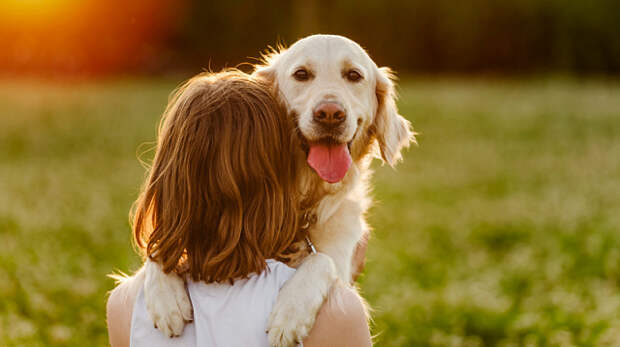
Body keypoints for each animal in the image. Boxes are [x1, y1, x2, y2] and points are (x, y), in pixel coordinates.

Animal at [140, 34, 412, 346]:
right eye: (301, 74)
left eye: (353, 75)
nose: (330, 114)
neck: (304, 199)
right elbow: (156, 249)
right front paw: (166, 299)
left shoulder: (341, 261)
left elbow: (321, 260)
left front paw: (290, 313)